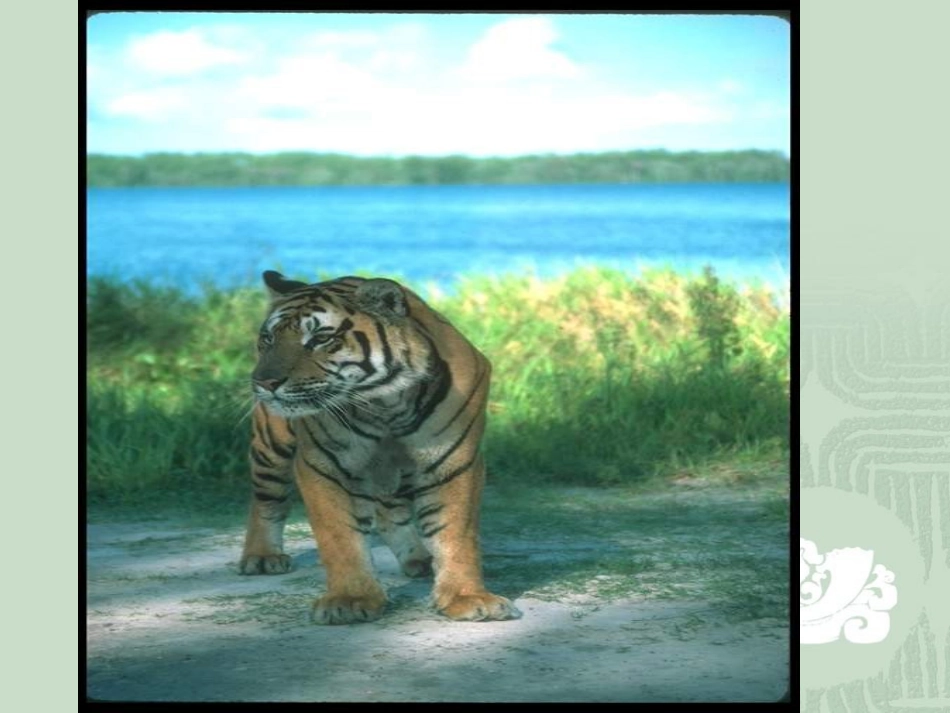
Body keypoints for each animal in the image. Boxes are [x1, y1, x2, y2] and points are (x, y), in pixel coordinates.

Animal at [238, 270, 521, 625]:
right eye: (268, 339)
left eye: (320, 339)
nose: (263, 382)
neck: (385, 404)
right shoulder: (324, 465)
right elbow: (339, 535)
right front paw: (350, 600)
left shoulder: (454, 461)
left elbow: (456, 531)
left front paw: (467, 597)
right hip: (271, 449)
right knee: (266, 500)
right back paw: (262, 557)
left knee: (390, 511)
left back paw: (419, 558)